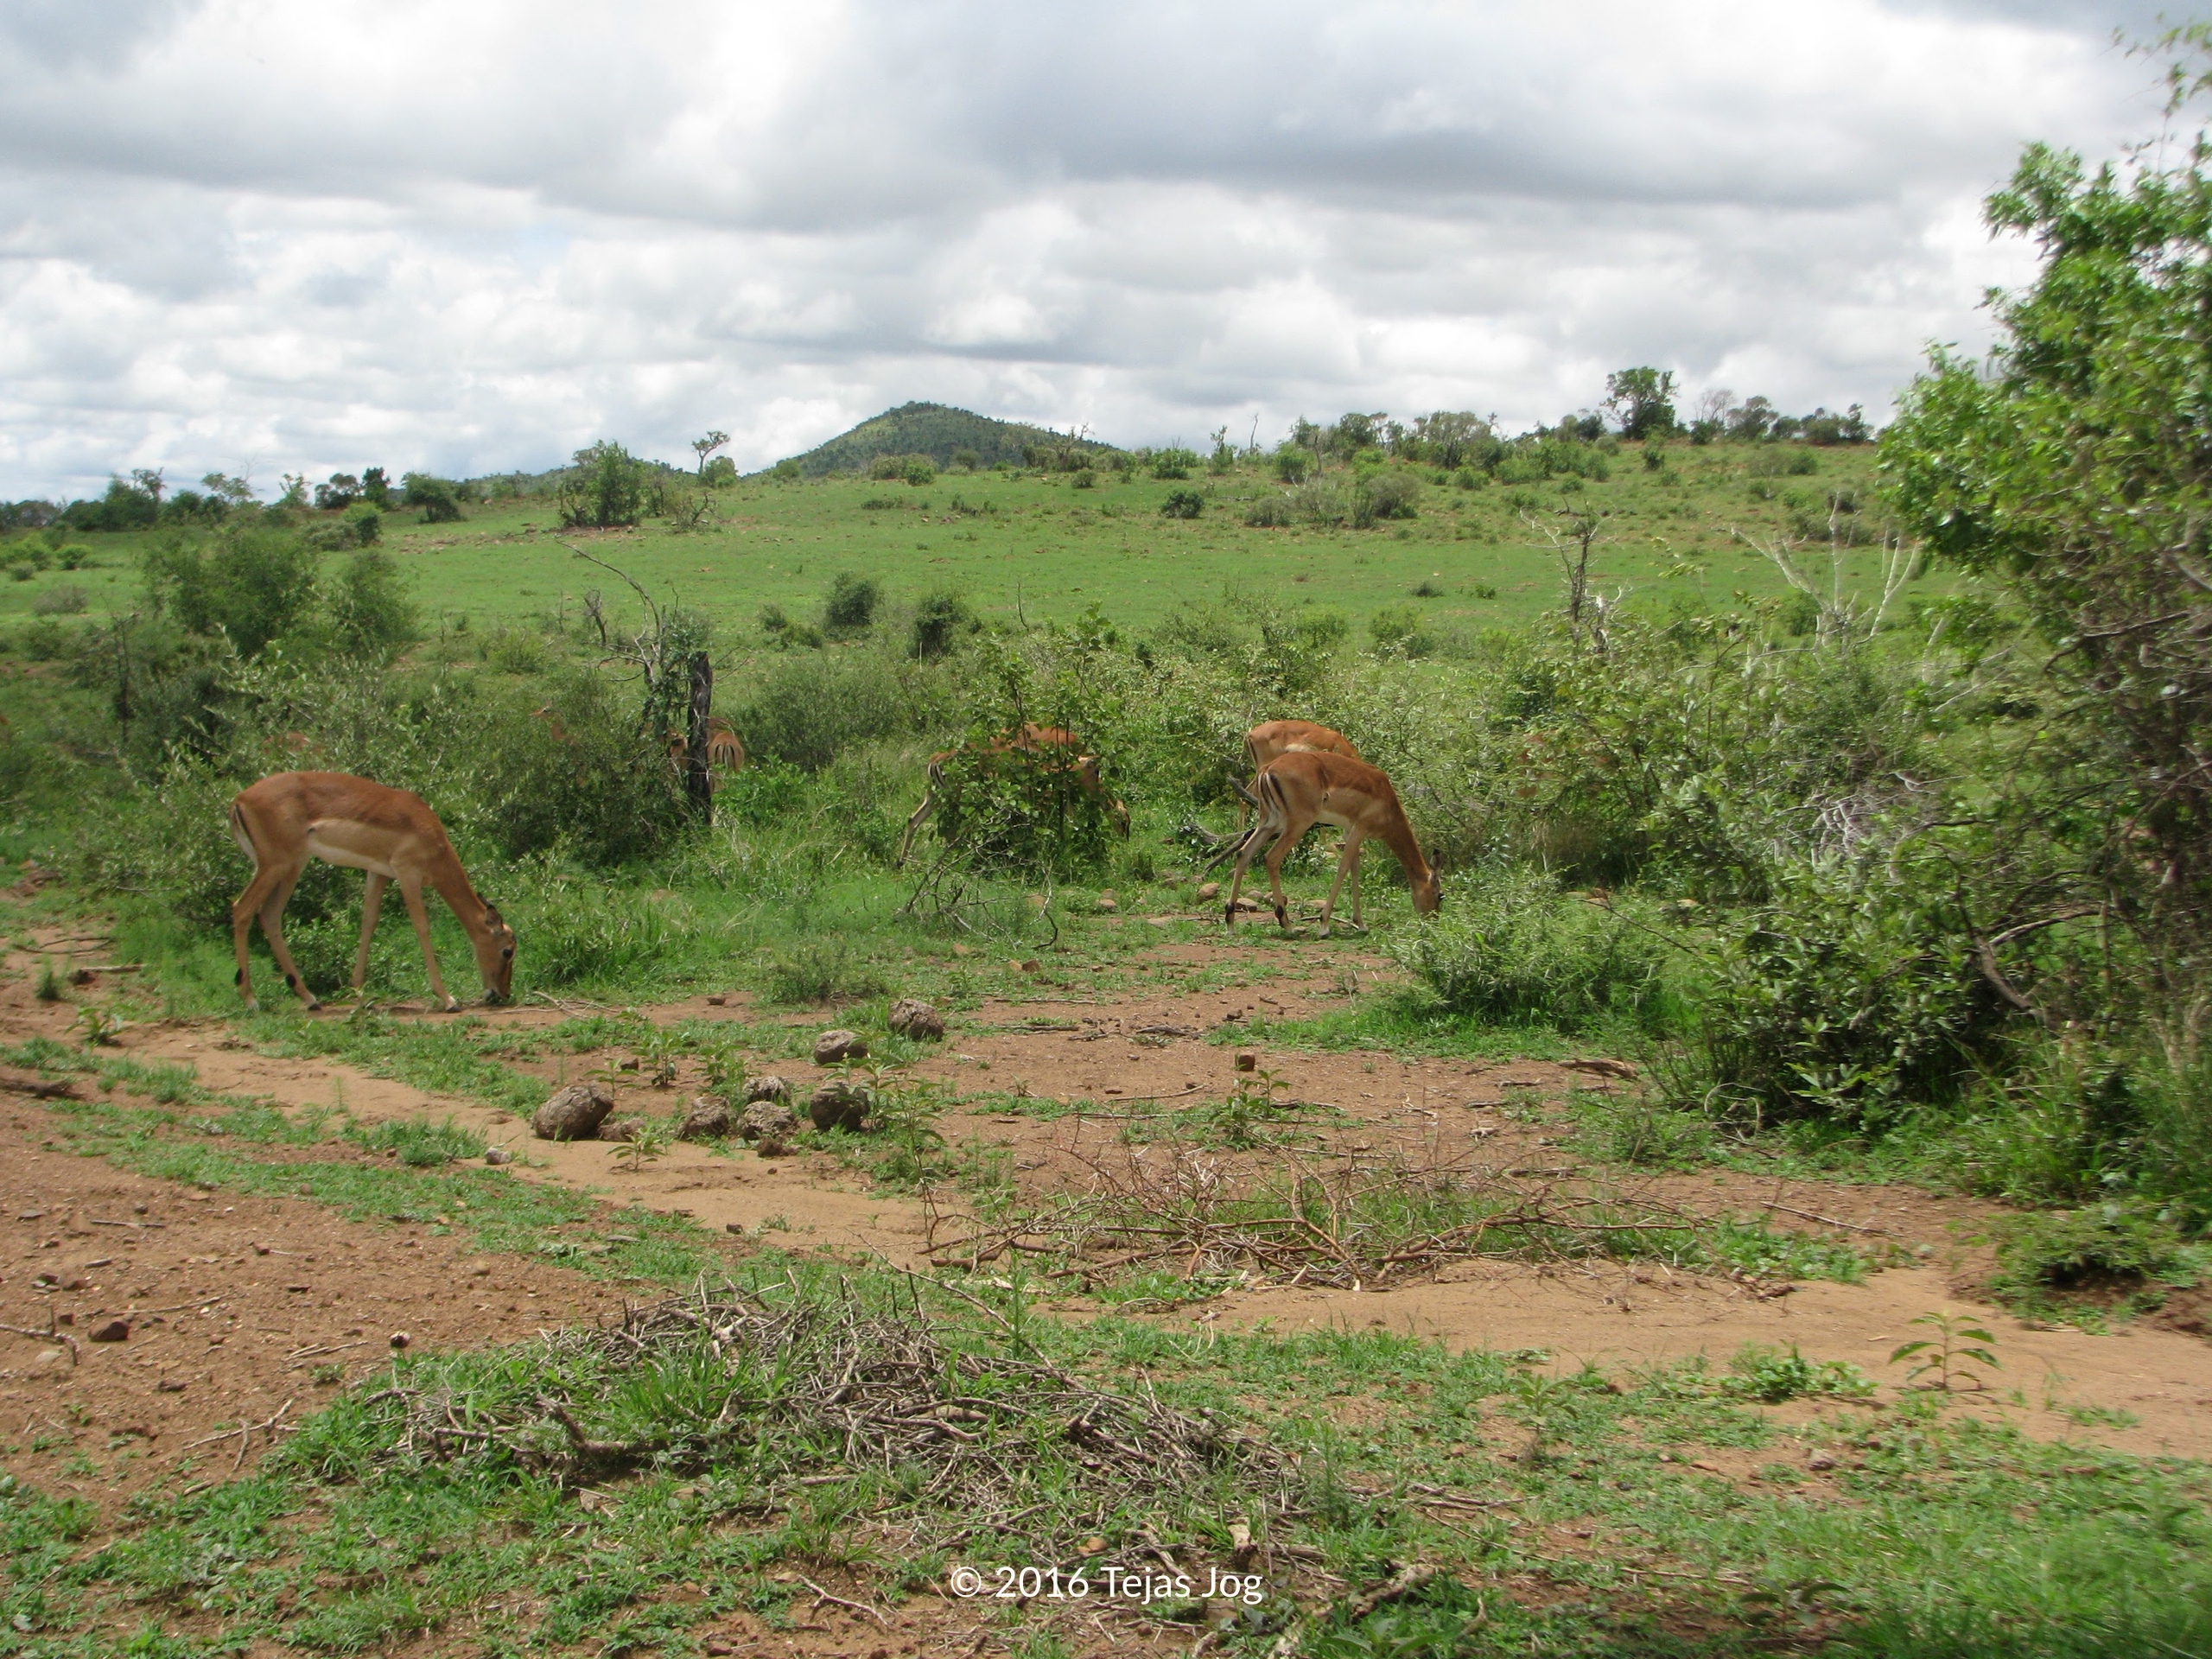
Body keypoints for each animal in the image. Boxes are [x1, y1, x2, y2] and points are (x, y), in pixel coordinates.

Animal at [228, 771, 515, 1013]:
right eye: (507, 951)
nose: (502, 994)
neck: (428, 831)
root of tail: (240, 799)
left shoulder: (378, 873)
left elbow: (369, 922)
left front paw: (360, 993)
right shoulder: (407, 873)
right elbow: (422, 927)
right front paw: (448, 999)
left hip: (291, 866)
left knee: (269, 915)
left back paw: (310, 999)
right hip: (276, 865)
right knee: (241, 909)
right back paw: (251, 1000)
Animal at [896, 724, 1129, 865]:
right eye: (1125, 820)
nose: (1124, 841)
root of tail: (935, 760)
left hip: (935, 796)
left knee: (913, 820)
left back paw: (902, 863)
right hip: (955, 798)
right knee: (950, 830)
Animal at [1224, 751, 1440, 935]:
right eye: (1440, 895)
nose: (1434, 921)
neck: (1386, 799)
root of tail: (1268, 769)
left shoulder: (1349, 831)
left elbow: (1355, 869)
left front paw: (1360, 923)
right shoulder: (1360, 829)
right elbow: (1343, 868)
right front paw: (1324, 925)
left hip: (1269, 823)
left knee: (1244, 853)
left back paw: (1230, 922)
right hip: (1297, 824)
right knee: (1271, 858)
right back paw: (1287, 925)